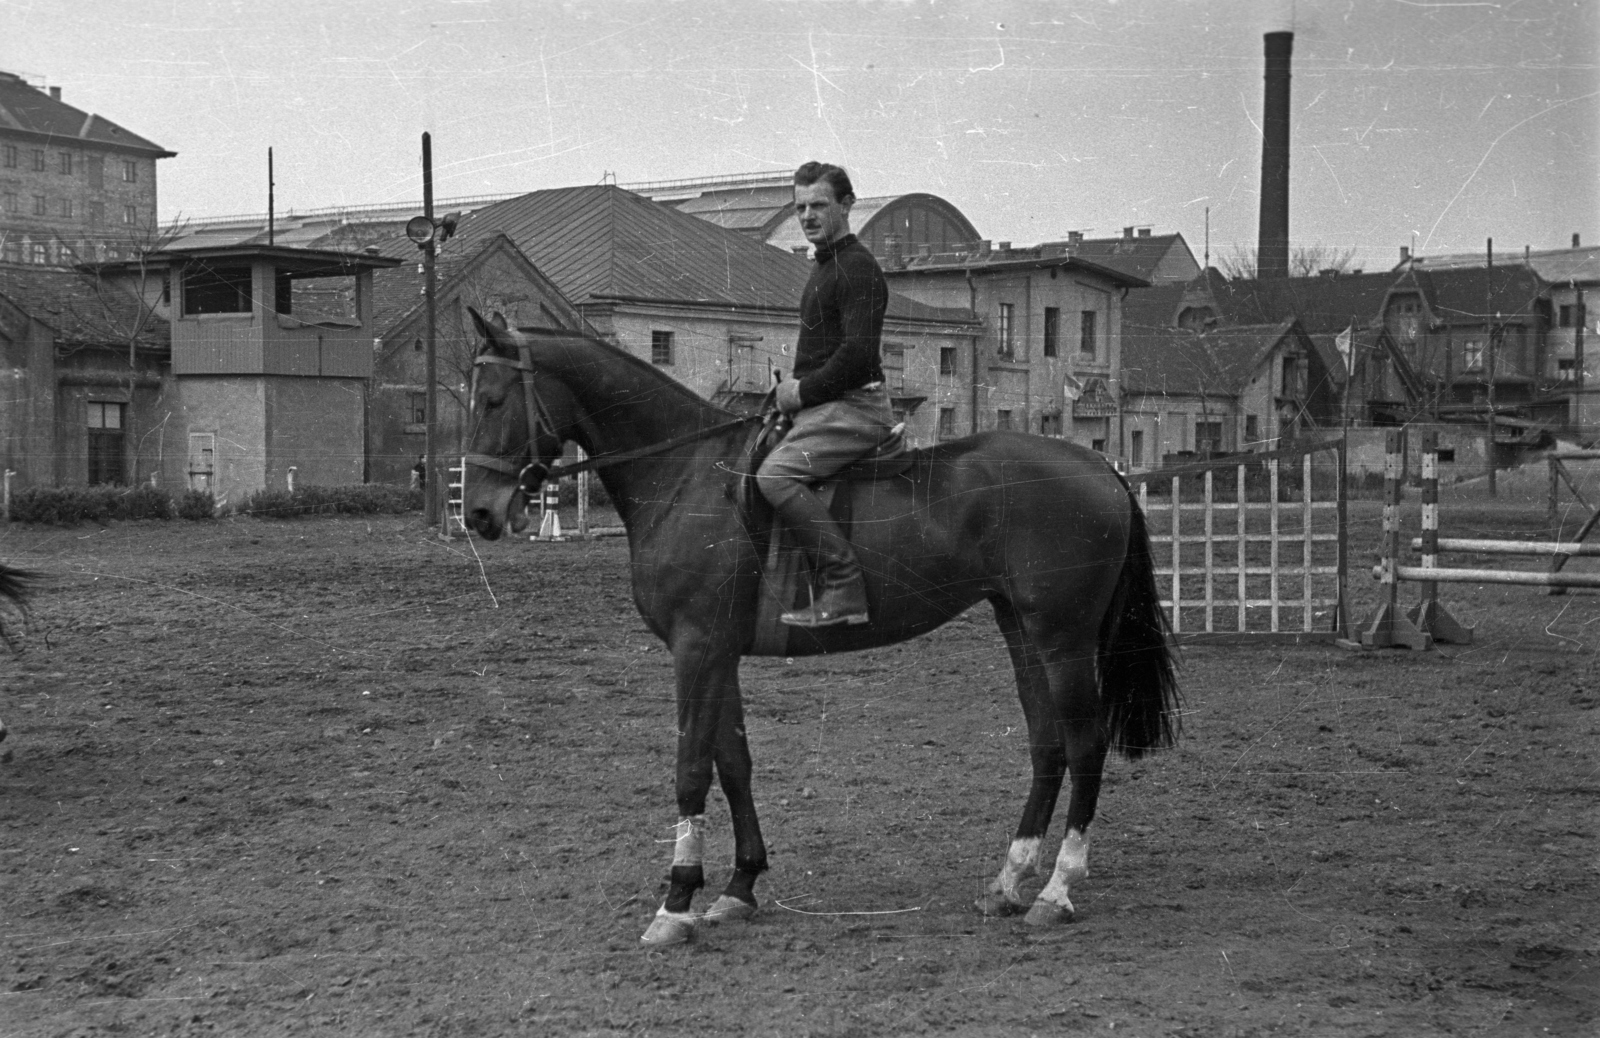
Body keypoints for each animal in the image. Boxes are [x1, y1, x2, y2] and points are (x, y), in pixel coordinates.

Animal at [457, 311, 1184, 940]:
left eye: (492, 400)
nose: (480, 514)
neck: (686, 477)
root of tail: (1101, 466)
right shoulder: (718, 653)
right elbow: (734, 763)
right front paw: (739, 885)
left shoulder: (696, 648)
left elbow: (692, 768)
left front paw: (677, 900)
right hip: (1023, 631)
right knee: (1048, 746)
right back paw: (1009, 882)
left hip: (1063, 638)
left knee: (1085, 745)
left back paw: (1058, 889)